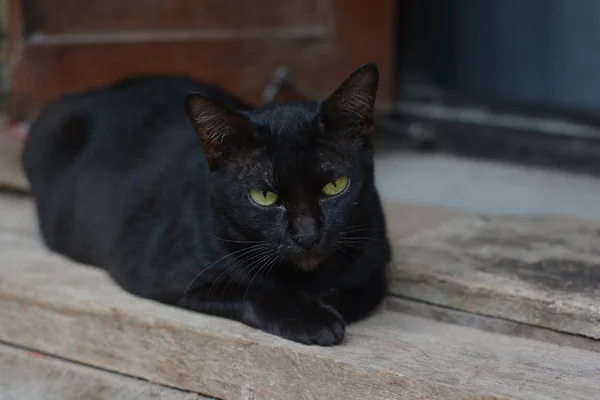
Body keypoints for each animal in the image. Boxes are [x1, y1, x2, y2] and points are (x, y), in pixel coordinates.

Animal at [22, 64, 390, 346]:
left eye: (335, 186)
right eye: (264, 197)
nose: (308, 235)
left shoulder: (375, 263)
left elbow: (359, 292)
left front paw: (325, 302)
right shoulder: (163, 273)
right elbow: (250, 289)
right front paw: (312, 320)